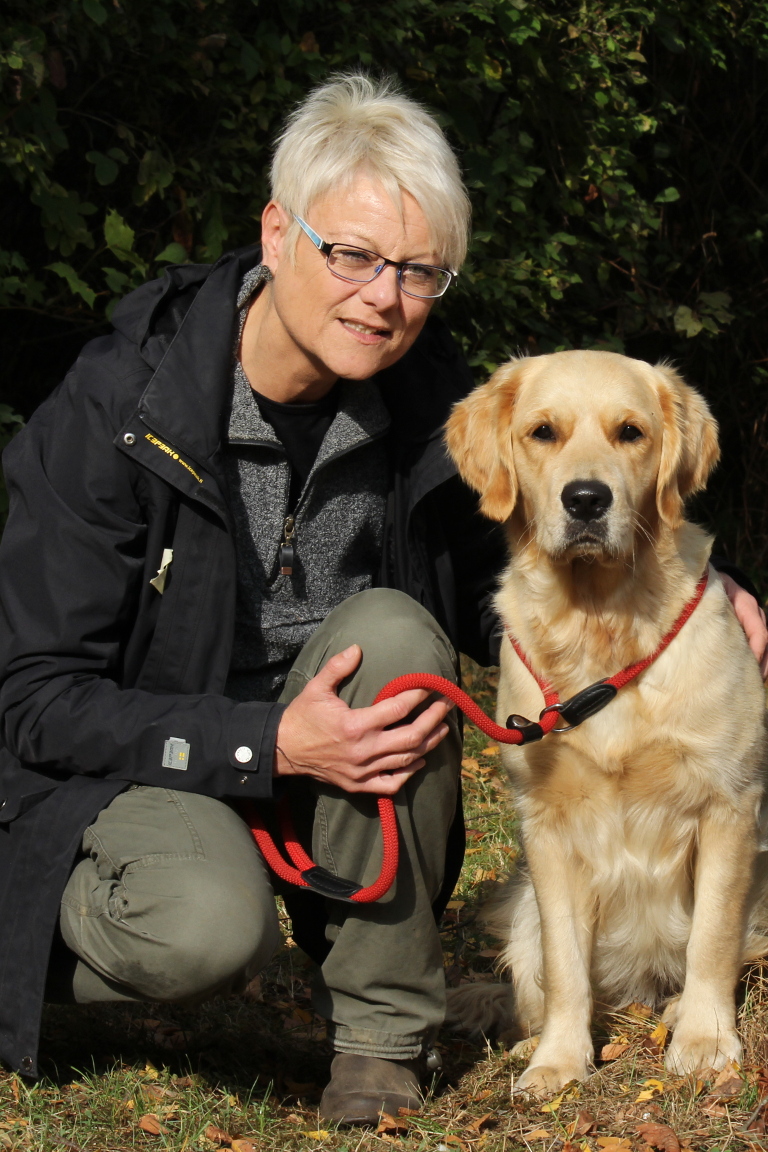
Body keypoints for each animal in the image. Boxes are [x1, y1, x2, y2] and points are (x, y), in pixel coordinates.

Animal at [444, 352, 768, 1096]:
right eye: (542, 432)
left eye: (630, 432)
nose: (587, 499)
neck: (601, 627)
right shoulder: (547, 826)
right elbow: (566, 967)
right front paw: (559, 1061)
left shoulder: (730, 803)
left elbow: (713, 937)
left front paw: (705, 1040)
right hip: (522, 920)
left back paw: (677, 1009)